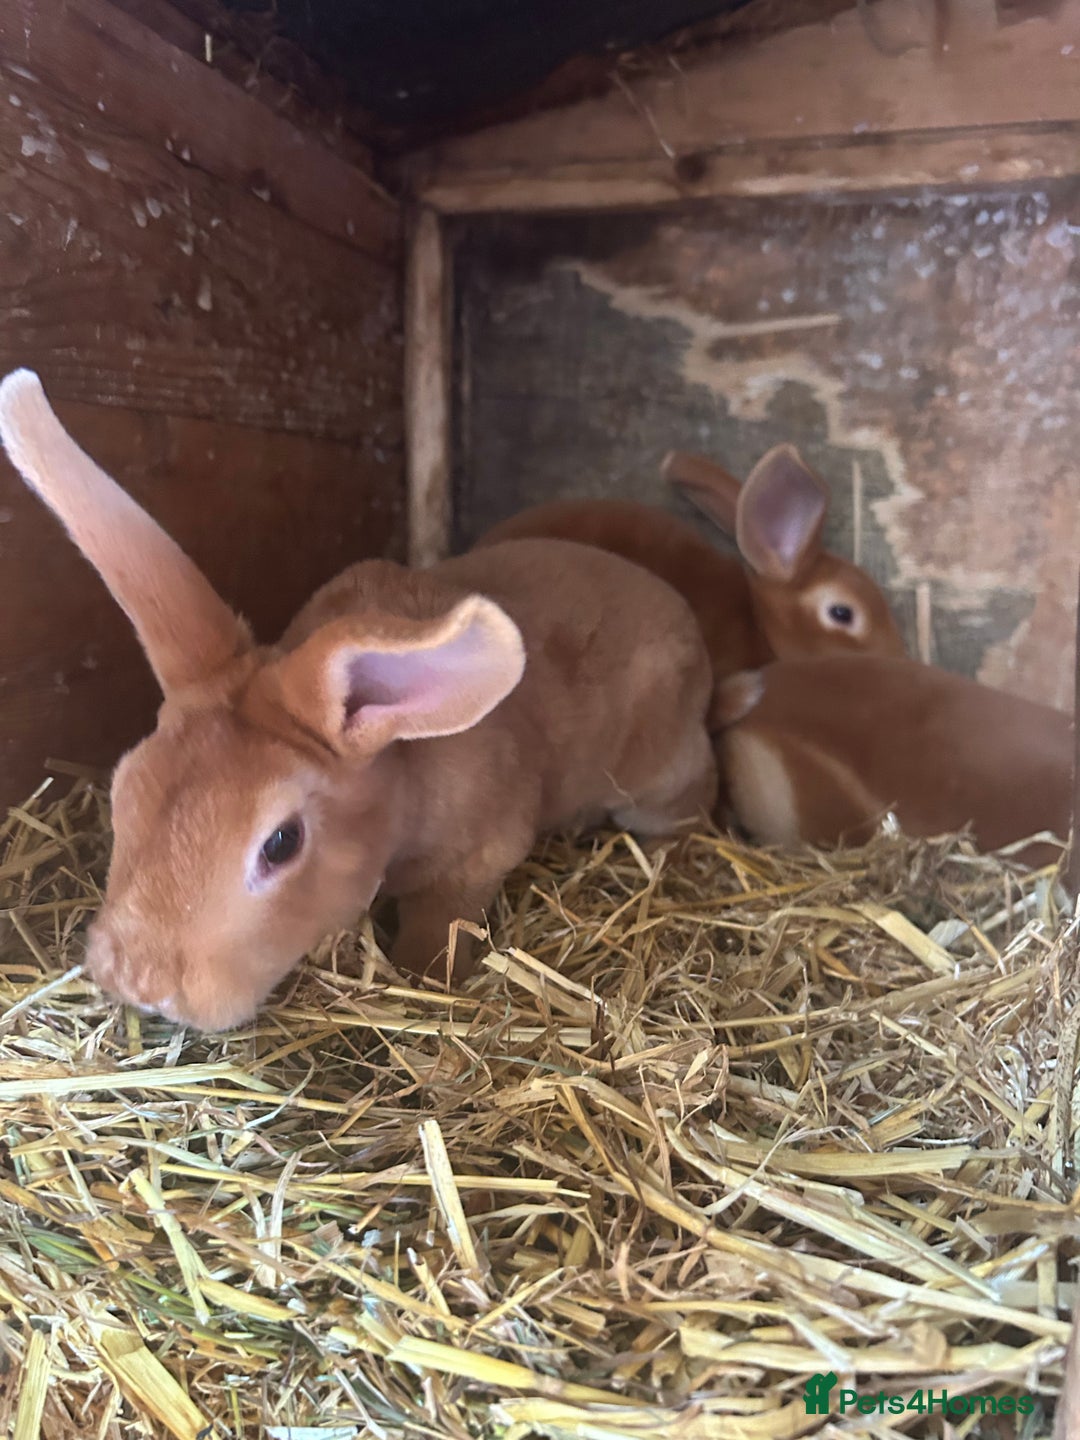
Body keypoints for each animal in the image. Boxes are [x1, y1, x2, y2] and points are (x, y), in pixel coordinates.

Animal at [0, 370, 717, 1032]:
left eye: (281, 843)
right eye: (124, 791)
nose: (139, 983)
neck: (403, 771)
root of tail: (684, 618)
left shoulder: (479, 859)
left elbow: (442, 928)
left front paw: (421, 975)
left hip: (658, 780)